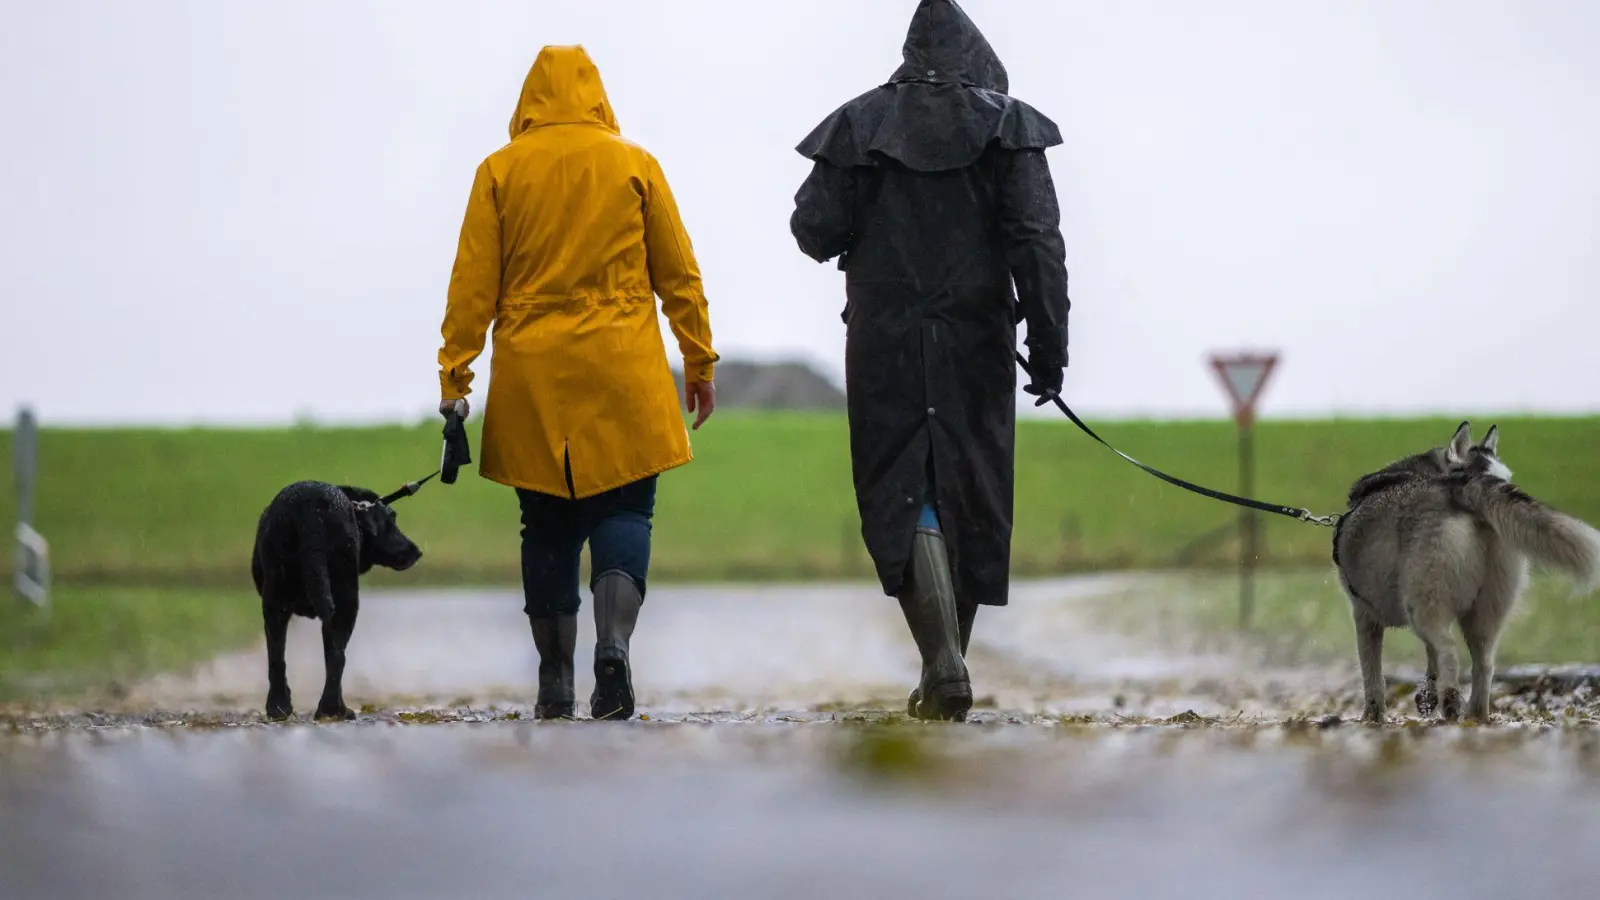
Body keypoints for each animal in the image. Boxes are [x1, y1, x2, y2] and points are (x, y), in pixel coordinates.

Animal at [251, 480, 422, 717]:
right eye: (392, 518)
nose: (417, 550)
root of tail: (311, 508)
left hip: (276, 601)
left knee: (278, 658)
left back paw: (279, 707)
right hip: (345, 599)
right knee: (337, 657)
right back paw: (333, 709)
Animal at [1331, 419, 1600, 720]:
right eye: (1502, 479)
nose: (1507, 488)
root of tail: (1458, 489)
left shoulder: (1364, 616)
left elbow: (1372, 676)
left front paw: (1372, 717)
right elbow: (1430, 658)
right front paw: (1426, 695)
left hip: (1421, 606)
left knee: (1449, 651)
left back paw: (1450, 705)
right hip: (1485, 611)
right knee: (1484, 663)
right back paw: (1475, 717)